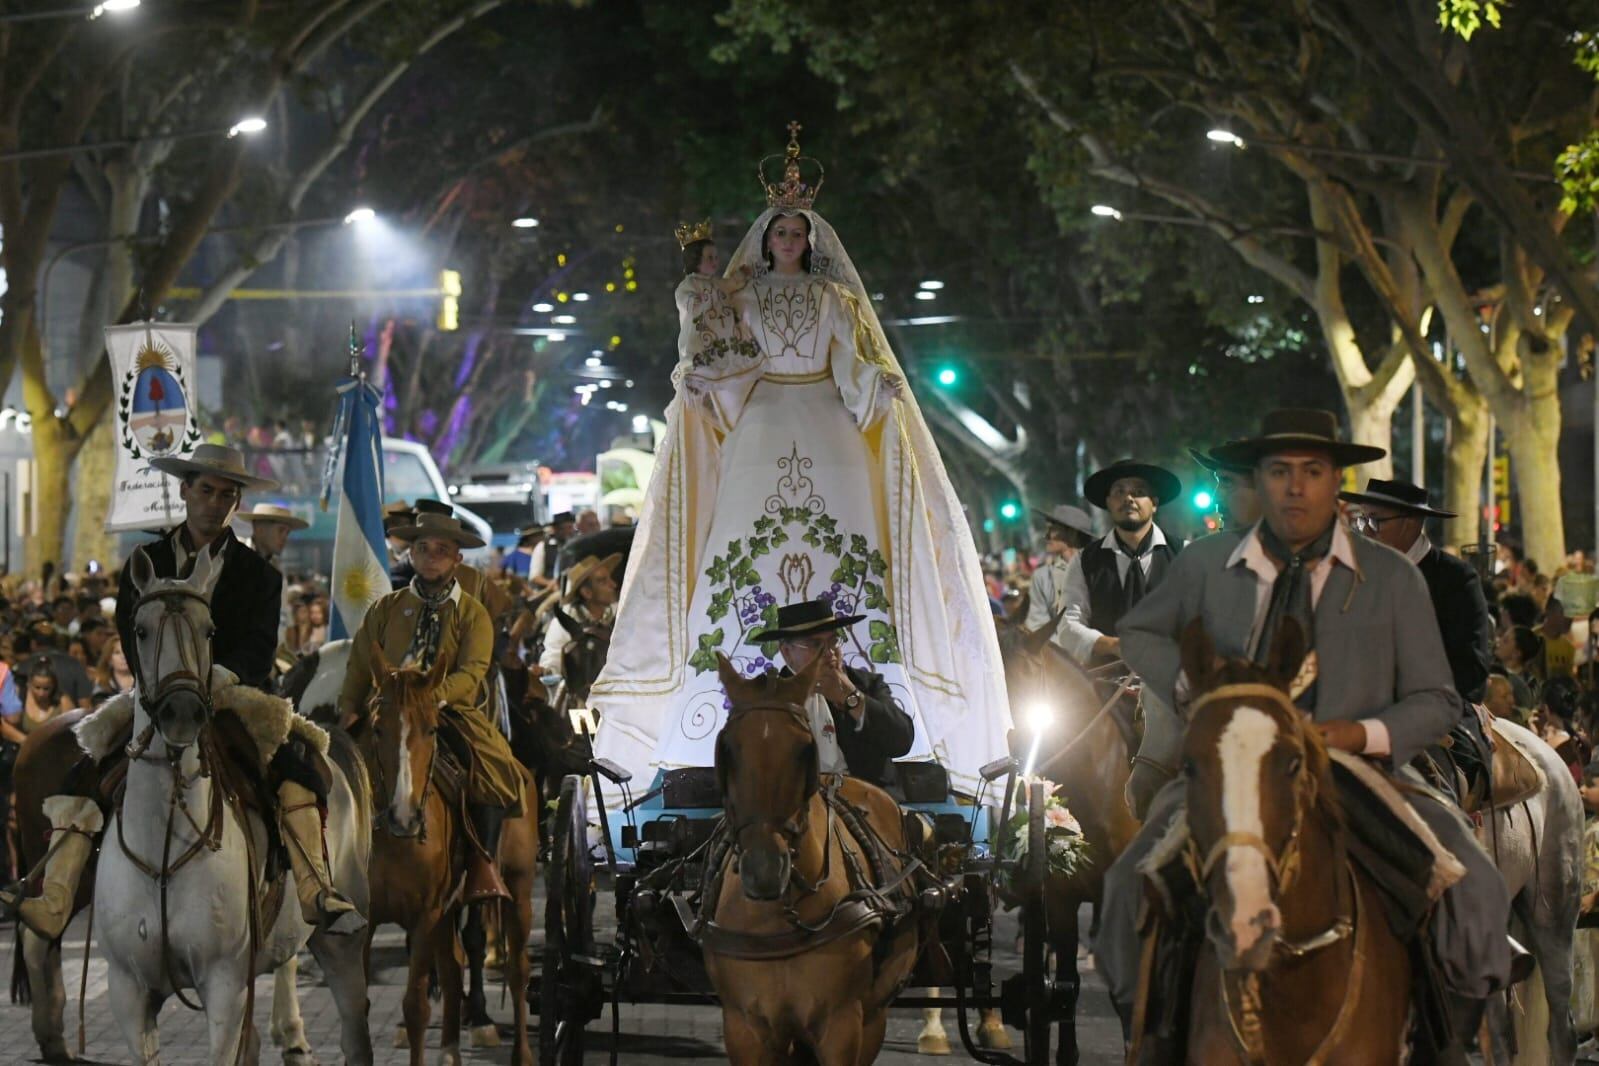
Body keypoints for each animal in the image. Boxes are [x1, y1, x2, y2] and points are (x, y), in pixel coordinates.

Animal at [97, 549, 374, 1066]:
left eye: (210, 630)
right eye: (139, 629)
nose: (181, 714)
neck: (164, 848)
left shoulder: (224, 986)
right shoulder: (129, 993)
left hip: (341, 943)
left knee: (354, 1030)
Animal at [359, 645, 540, 1061]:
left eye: (432, 730)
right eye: (377, 728)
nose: (404, 815)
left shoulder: (425, 916)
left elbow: (416, 1007)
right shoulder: (366, 918)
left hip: (518, 887)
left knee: (518, 970)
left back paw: (520, 1051)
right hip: (449, 911)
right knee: (455, 969)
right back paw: (451, 1051)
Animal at [703, 652, 927, 1066]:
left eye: (804, 751)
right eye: (728, 751)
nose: (764, 870)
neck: (779, 920)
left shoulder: (841, 1026)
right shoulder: (744, 1028)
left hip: (873, 1018)